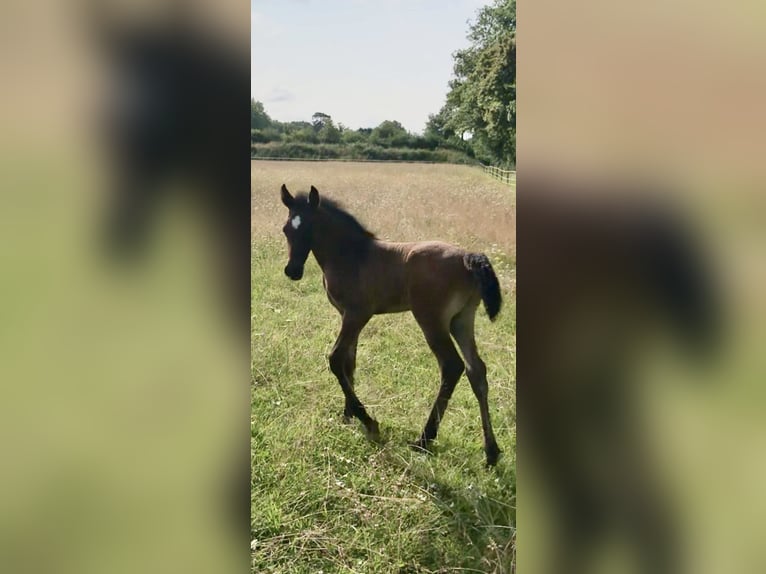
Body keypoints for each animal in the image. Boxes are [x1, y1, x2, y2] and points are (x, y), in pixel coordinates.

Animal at [280, 184, 504, 466]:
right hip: (462, 320)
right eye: (286, 229)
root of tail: (468, 257)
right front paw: (348, 414)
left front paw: (368, 422)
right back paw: (491, 451)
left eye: (310, 228)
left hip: (431, 320)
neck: (351, 255)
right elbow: (350, 362)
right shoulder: (347, 316)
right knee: (477, 370)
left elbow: (336, 358)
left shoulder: (357, 314)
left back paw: (424, 439)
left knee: (452, 366)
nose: (292, 271)